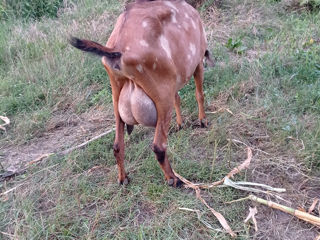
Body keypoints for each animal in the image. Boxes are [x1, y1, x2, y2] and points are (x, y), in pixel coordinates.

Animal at [69, 0, 212, 187]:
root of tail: (117, 50)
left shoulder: (173, 83)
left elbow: (178, 98)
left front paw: (180, 124)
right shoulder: (198, 62)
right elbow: (199, 94)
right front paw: (203, 121)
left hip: (117, 95)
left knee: (117, 146)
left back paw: (123, 178)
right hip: (162, 97)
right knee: (158, 146)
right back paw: (173, 179)